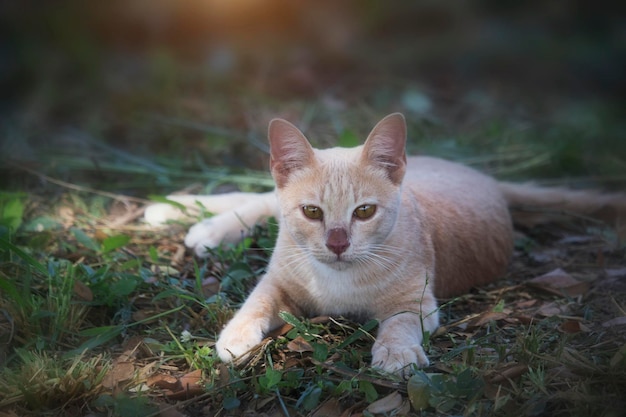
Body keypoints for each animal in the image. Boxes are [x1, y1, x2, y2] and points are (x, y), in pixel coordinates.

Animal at [144, 111, 620, 374]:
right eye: (312, 212)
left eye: (364, 212)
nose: (337, 244)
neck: (337, 280)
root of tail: (477, 173)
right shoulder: (277, 280)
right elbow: (256, 301)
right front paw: (236, 334)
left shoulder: (418, 304)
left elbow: (398, 323)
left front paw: (395, 352)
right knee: (259, 198)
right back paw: (181, 214)